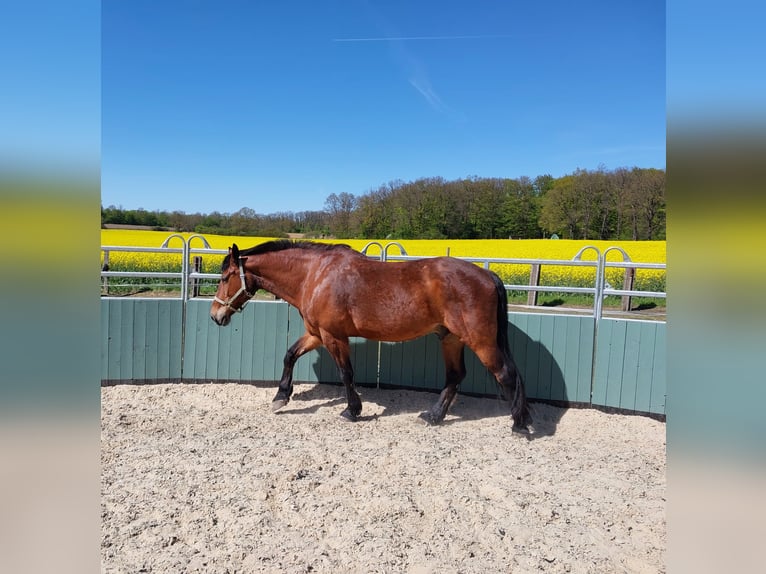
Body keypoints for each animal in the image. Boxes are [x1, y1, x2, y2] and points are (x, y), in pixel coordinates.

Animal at [210, 240, 532, 433]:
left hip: (481, 341)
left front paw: (352, 410)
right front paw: (281, 396)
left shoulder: (333, 336)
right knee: (455, 376)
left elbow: (346, 373)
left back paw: (519, 424)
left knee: (506, 374)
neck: (315, 275)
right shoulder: (316, 334)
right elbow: (290, 355)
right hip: (451, 338)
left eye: (225, 277)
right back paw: (434, 416)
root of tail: (487, 276)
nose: (215, 316)